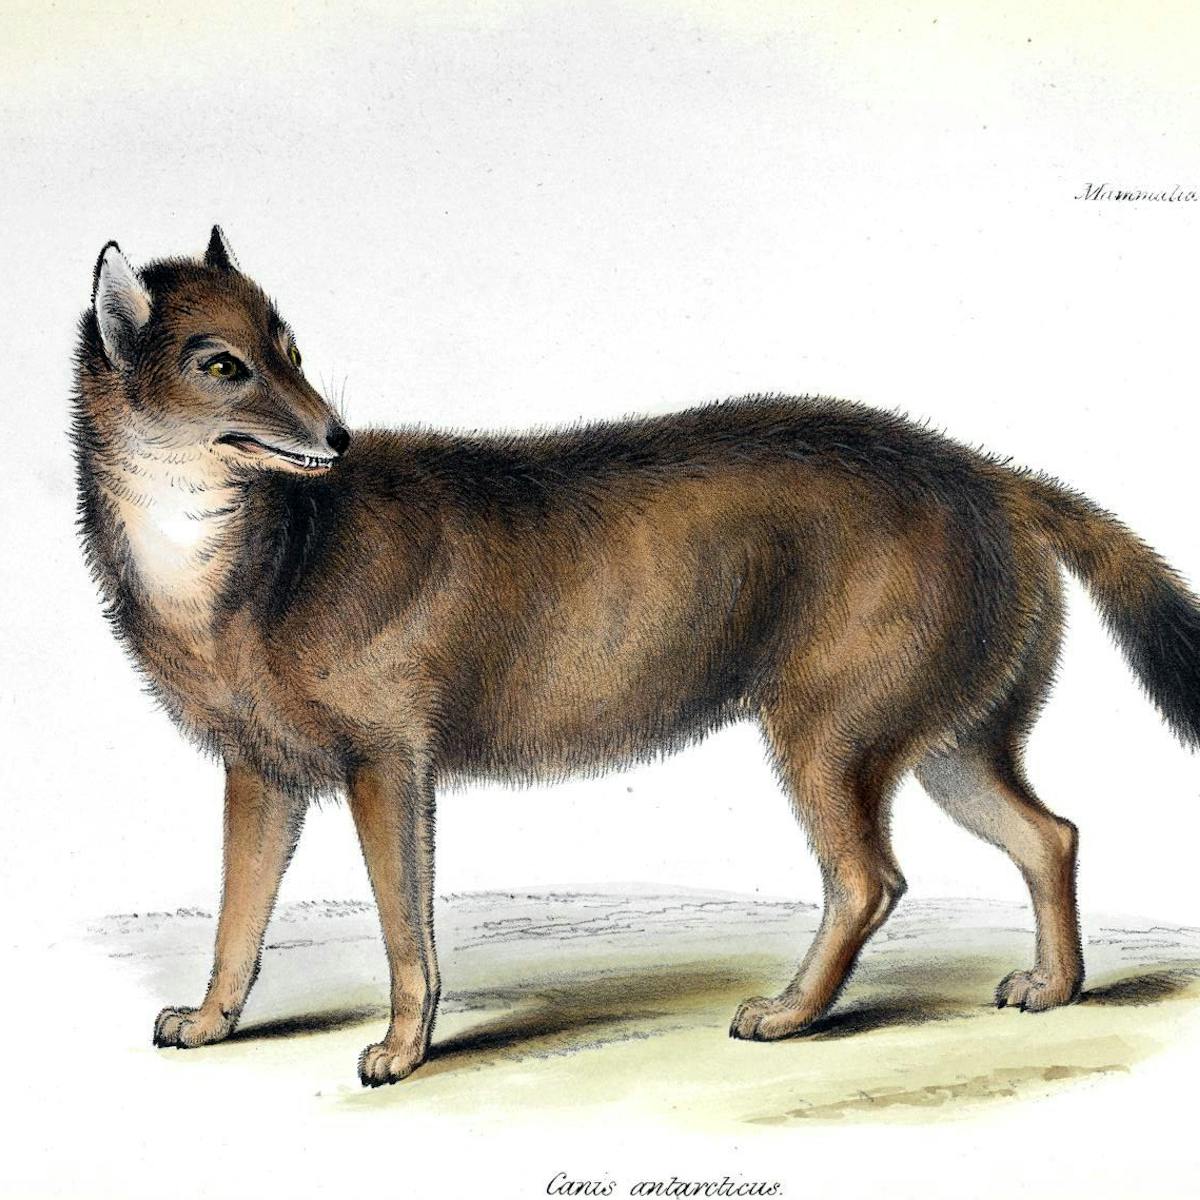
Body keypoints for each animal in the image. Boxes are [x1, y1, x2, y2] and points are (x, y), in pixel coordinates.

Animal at [73, 228, 1200, 1086]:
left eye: (292, 348)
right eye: (224, 363)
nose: (335, 436)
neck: (246, 566)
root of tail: (991, 473)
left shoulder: (386, 764)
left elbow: (404, 930)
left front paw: (401, 1050)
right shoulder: (259, 772)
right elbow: (237, 917)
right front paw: (208, 1023)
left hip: (830, 737)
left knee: (871, 879)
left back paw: (790, 1013)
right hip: (946, 743)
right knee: (1051, 836)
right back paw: (1054, 987)